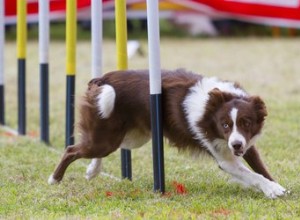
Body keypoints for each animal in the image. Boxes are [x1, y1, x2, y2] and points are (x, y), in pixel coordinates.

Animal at [48, 68, 286, 198]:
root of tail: (103, 79)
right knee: (71, 150)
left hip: (131, 137)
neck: (212, 103)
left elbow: (260, 169)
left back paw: (92, 170)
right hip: (107, 135)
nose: (236, 145)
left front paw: (276, 186)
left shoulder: (246, 144)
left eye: (246, 123)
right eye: (225, 125)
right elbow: (253, 175)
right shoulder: (224, 157)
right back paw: (54, 179)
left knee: (107, 147)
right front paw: (272, 190)